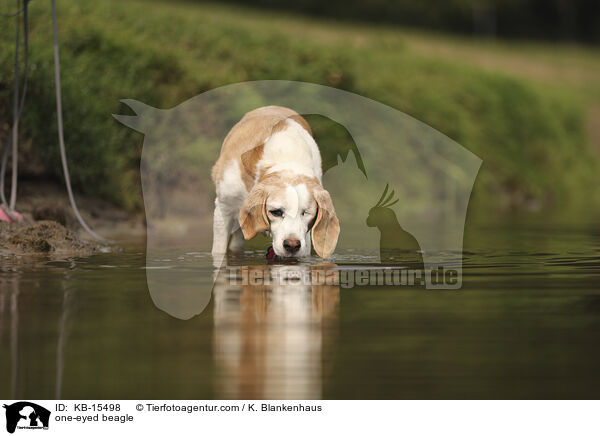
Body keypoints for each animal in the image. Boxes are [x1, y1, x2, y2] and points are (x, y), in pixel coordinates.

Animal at [211, 106, 340, 258]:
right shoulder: (223, 210)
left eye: (305, 213)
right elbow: (219, 252)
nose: (292, 245)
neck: (287, 159)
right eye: (276, 212)